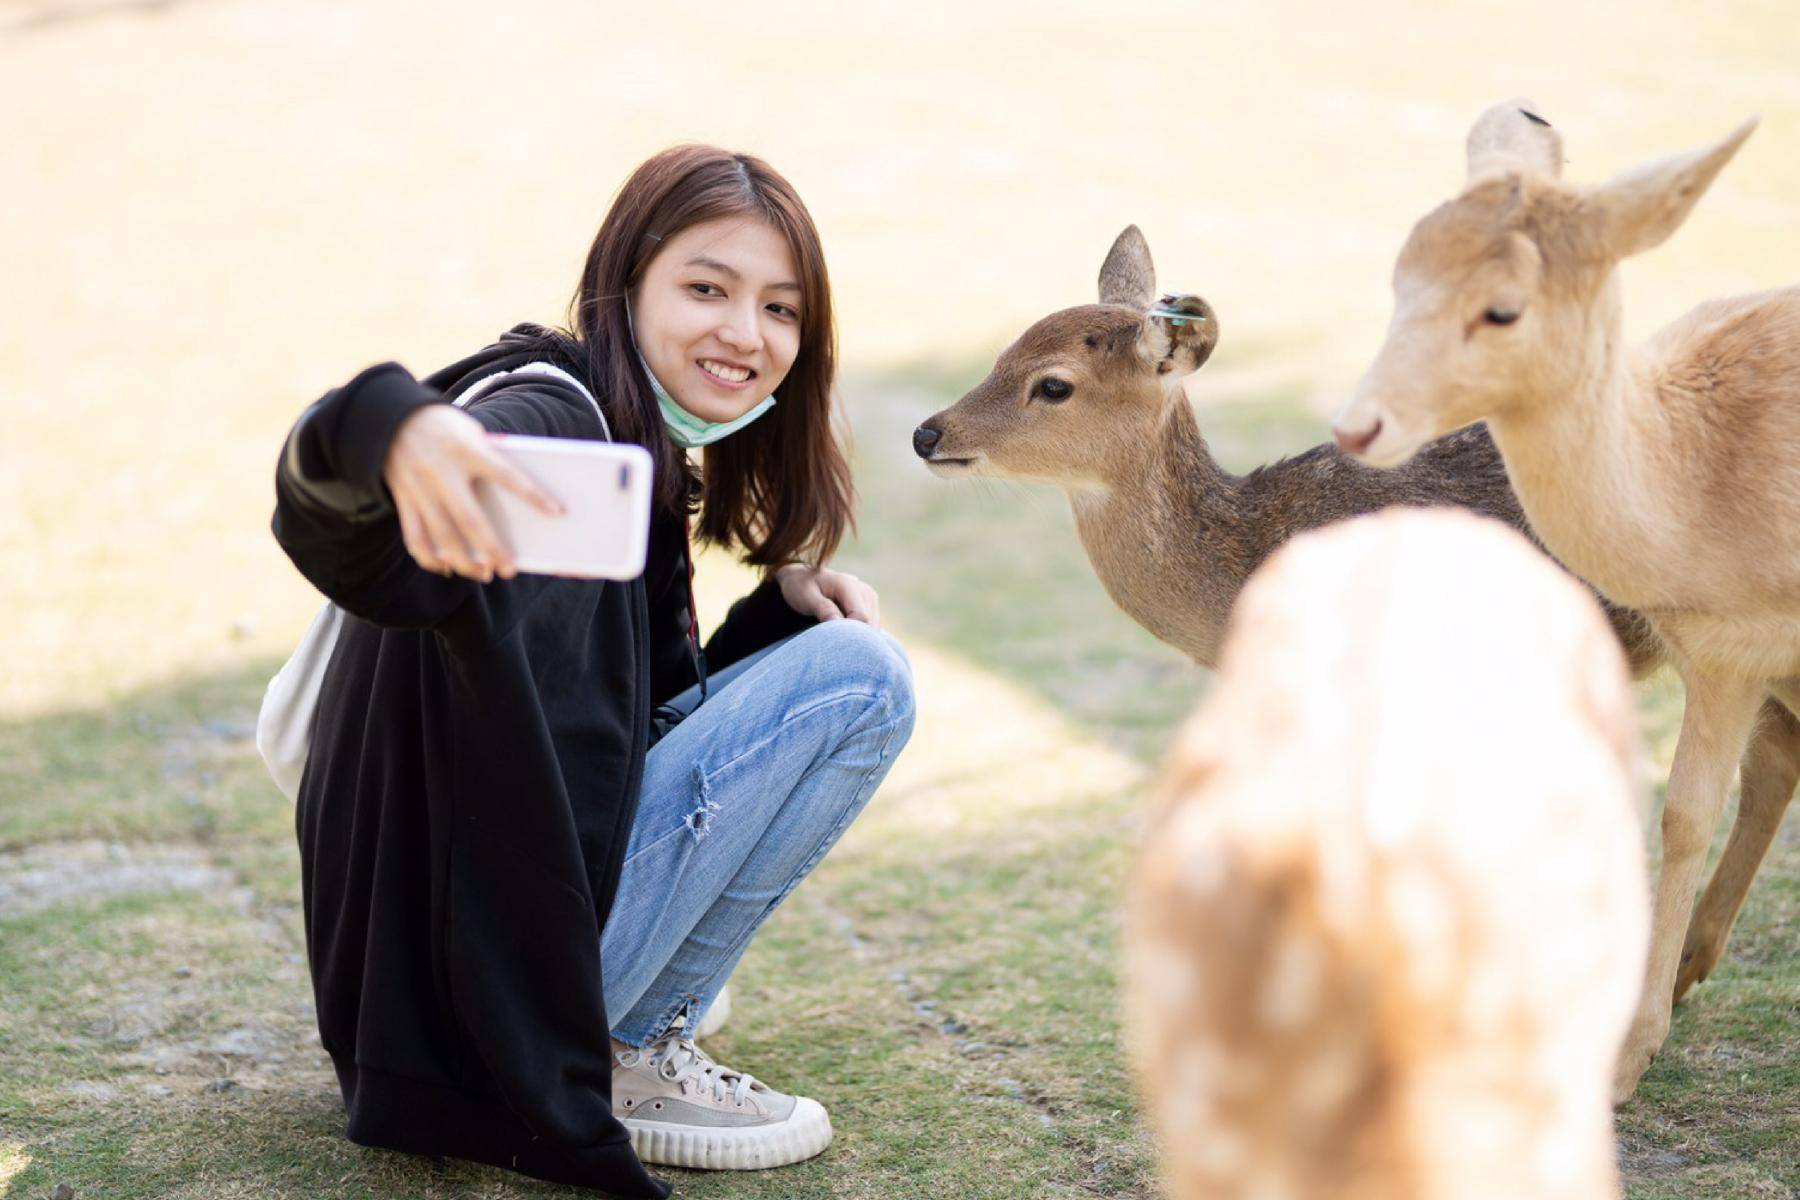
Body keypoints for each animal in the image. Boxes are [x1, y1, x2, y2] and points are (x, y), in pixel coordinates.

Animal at [1339, 98, 1800, 1101]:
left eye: (1503, 306)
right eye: (1400, 275)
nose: (1359, 423)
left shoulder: (1740, 652)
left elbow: (1684, 810)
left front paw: (1625, 1059)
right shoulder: (1725, 652)